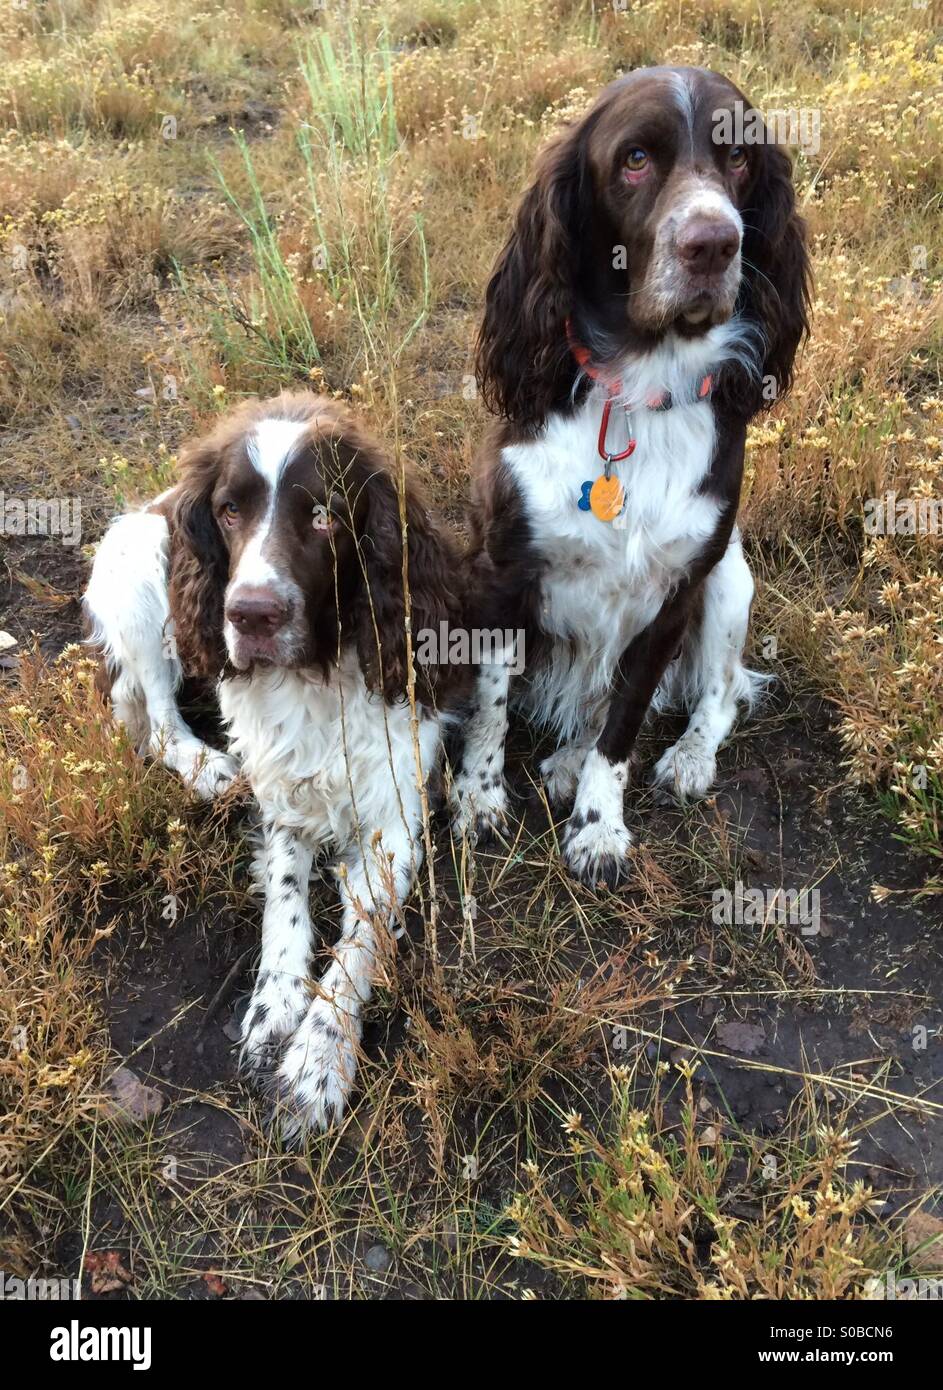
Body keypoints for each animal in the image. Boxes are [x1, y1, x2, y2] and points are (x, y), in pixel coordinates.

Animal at [86, 389, 464, 1128]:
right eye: (229, 511)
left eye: (324, 515)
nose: (250, 614)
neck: (314, 678)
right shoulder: (283, 794)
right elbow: (284, 901)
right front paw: (275, 1008)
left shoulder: (394, 817)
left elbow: (357, 945)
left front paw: (317, 1061)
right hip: (142, 570)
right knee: (159, 713)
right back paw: (207, 767)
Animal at [456, 65, 812, 884]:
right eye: (636, 160)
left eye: (738, 158)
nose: (713, 243)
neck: (640, 392)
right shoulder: (501, 569)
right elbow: (490, 704)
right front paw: (477, 800)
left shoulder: (676, 595)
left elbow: (621, 728)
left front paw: (598, 830)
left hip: (732, 580)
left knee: (716, 695)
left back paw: (680, 758)